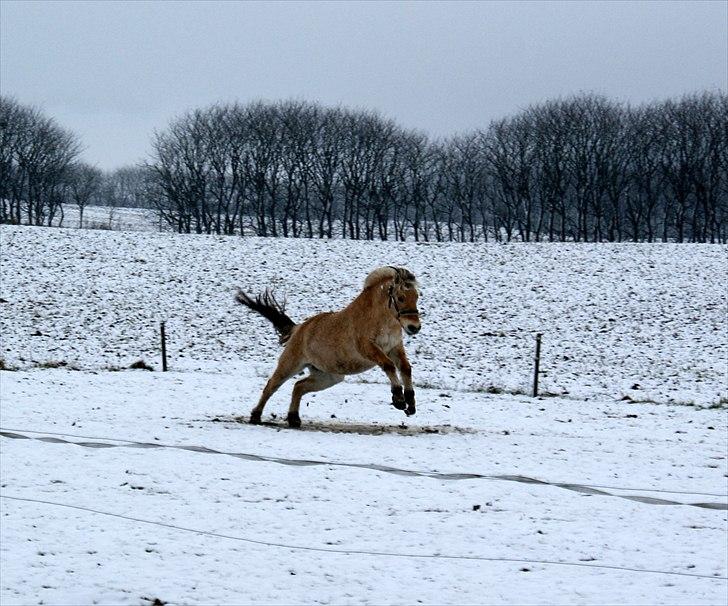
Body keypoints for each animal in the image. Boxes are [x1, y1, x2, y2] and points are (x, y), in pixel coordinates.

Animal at [236, 268, 420, 430]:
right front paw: (398, 399)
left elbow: (405, 368)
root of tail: (298, 329)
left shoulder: (394, 347)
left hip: (328, 376)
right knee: (271, 386)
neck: (379, 319)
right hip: (290, 365)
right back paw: (255, 416)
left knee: (299, 386)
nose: (414, 327)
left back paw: (294, 419)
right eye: (400, 297)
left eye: (417, 296)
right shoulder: (367, 347)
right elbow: (388, 365)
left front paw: (410, 404)